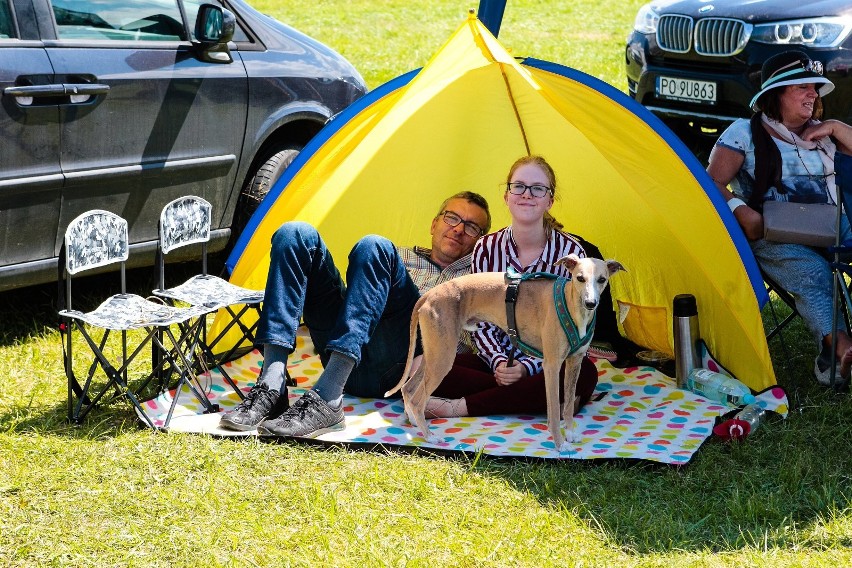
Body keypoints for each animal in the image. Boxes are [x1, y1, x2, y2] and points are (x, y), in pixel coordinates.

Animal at [388, 254, 624, 452]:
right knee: (418, 399)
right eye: (580, 278)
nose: (591, 303)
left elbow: (566, 406)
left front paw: (571, 434)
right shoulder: (552, 365)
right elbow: (555, 411)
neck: (571, 305)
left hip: (434, 353)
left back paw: (413, 423)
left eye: (602, 279)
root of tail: (429, 294)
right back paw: (429, 436)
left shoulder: (574, 362)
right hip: (442, 357)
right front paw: (560, 444)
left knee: (408, 389)